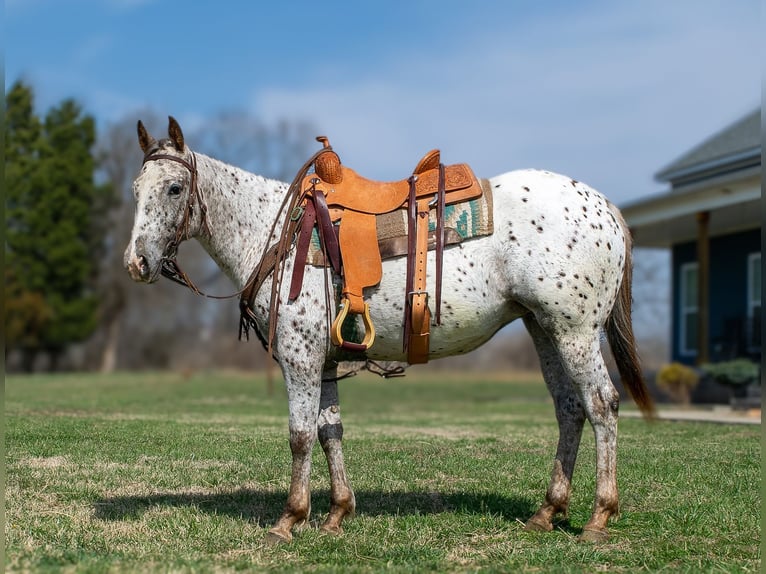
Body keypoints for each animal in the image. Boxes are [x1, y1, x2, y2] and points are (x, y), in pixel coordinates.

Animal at [124, 116, 653, 544]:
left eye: (174, 189)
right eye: (135, 188)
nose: (137, 263)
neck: (275, 233)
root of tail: (604, 206)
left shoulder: (300, 356)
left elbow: (300, 434)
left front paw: (290, 519)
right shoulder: (325, 359)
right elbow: (329, 430)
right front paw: (337, 514)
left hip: (575, 331)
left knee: (601, 404)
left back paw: (598, 517)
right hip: (544, 330)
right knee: (569, 409)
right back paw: (547, 512)